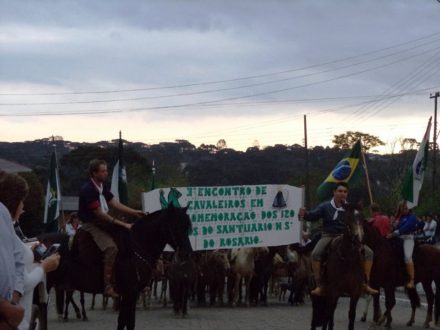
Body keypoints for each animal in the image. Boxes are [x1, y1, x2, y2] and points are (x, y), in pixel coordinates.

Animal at [43, 206, 192, 330]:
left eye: (187, 227)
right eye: (176, 226)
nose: (186, 253)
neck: (135, 247)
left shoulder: (129, 294)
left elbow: (124, 322)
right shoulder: (130, 293)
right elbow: (128, 322)